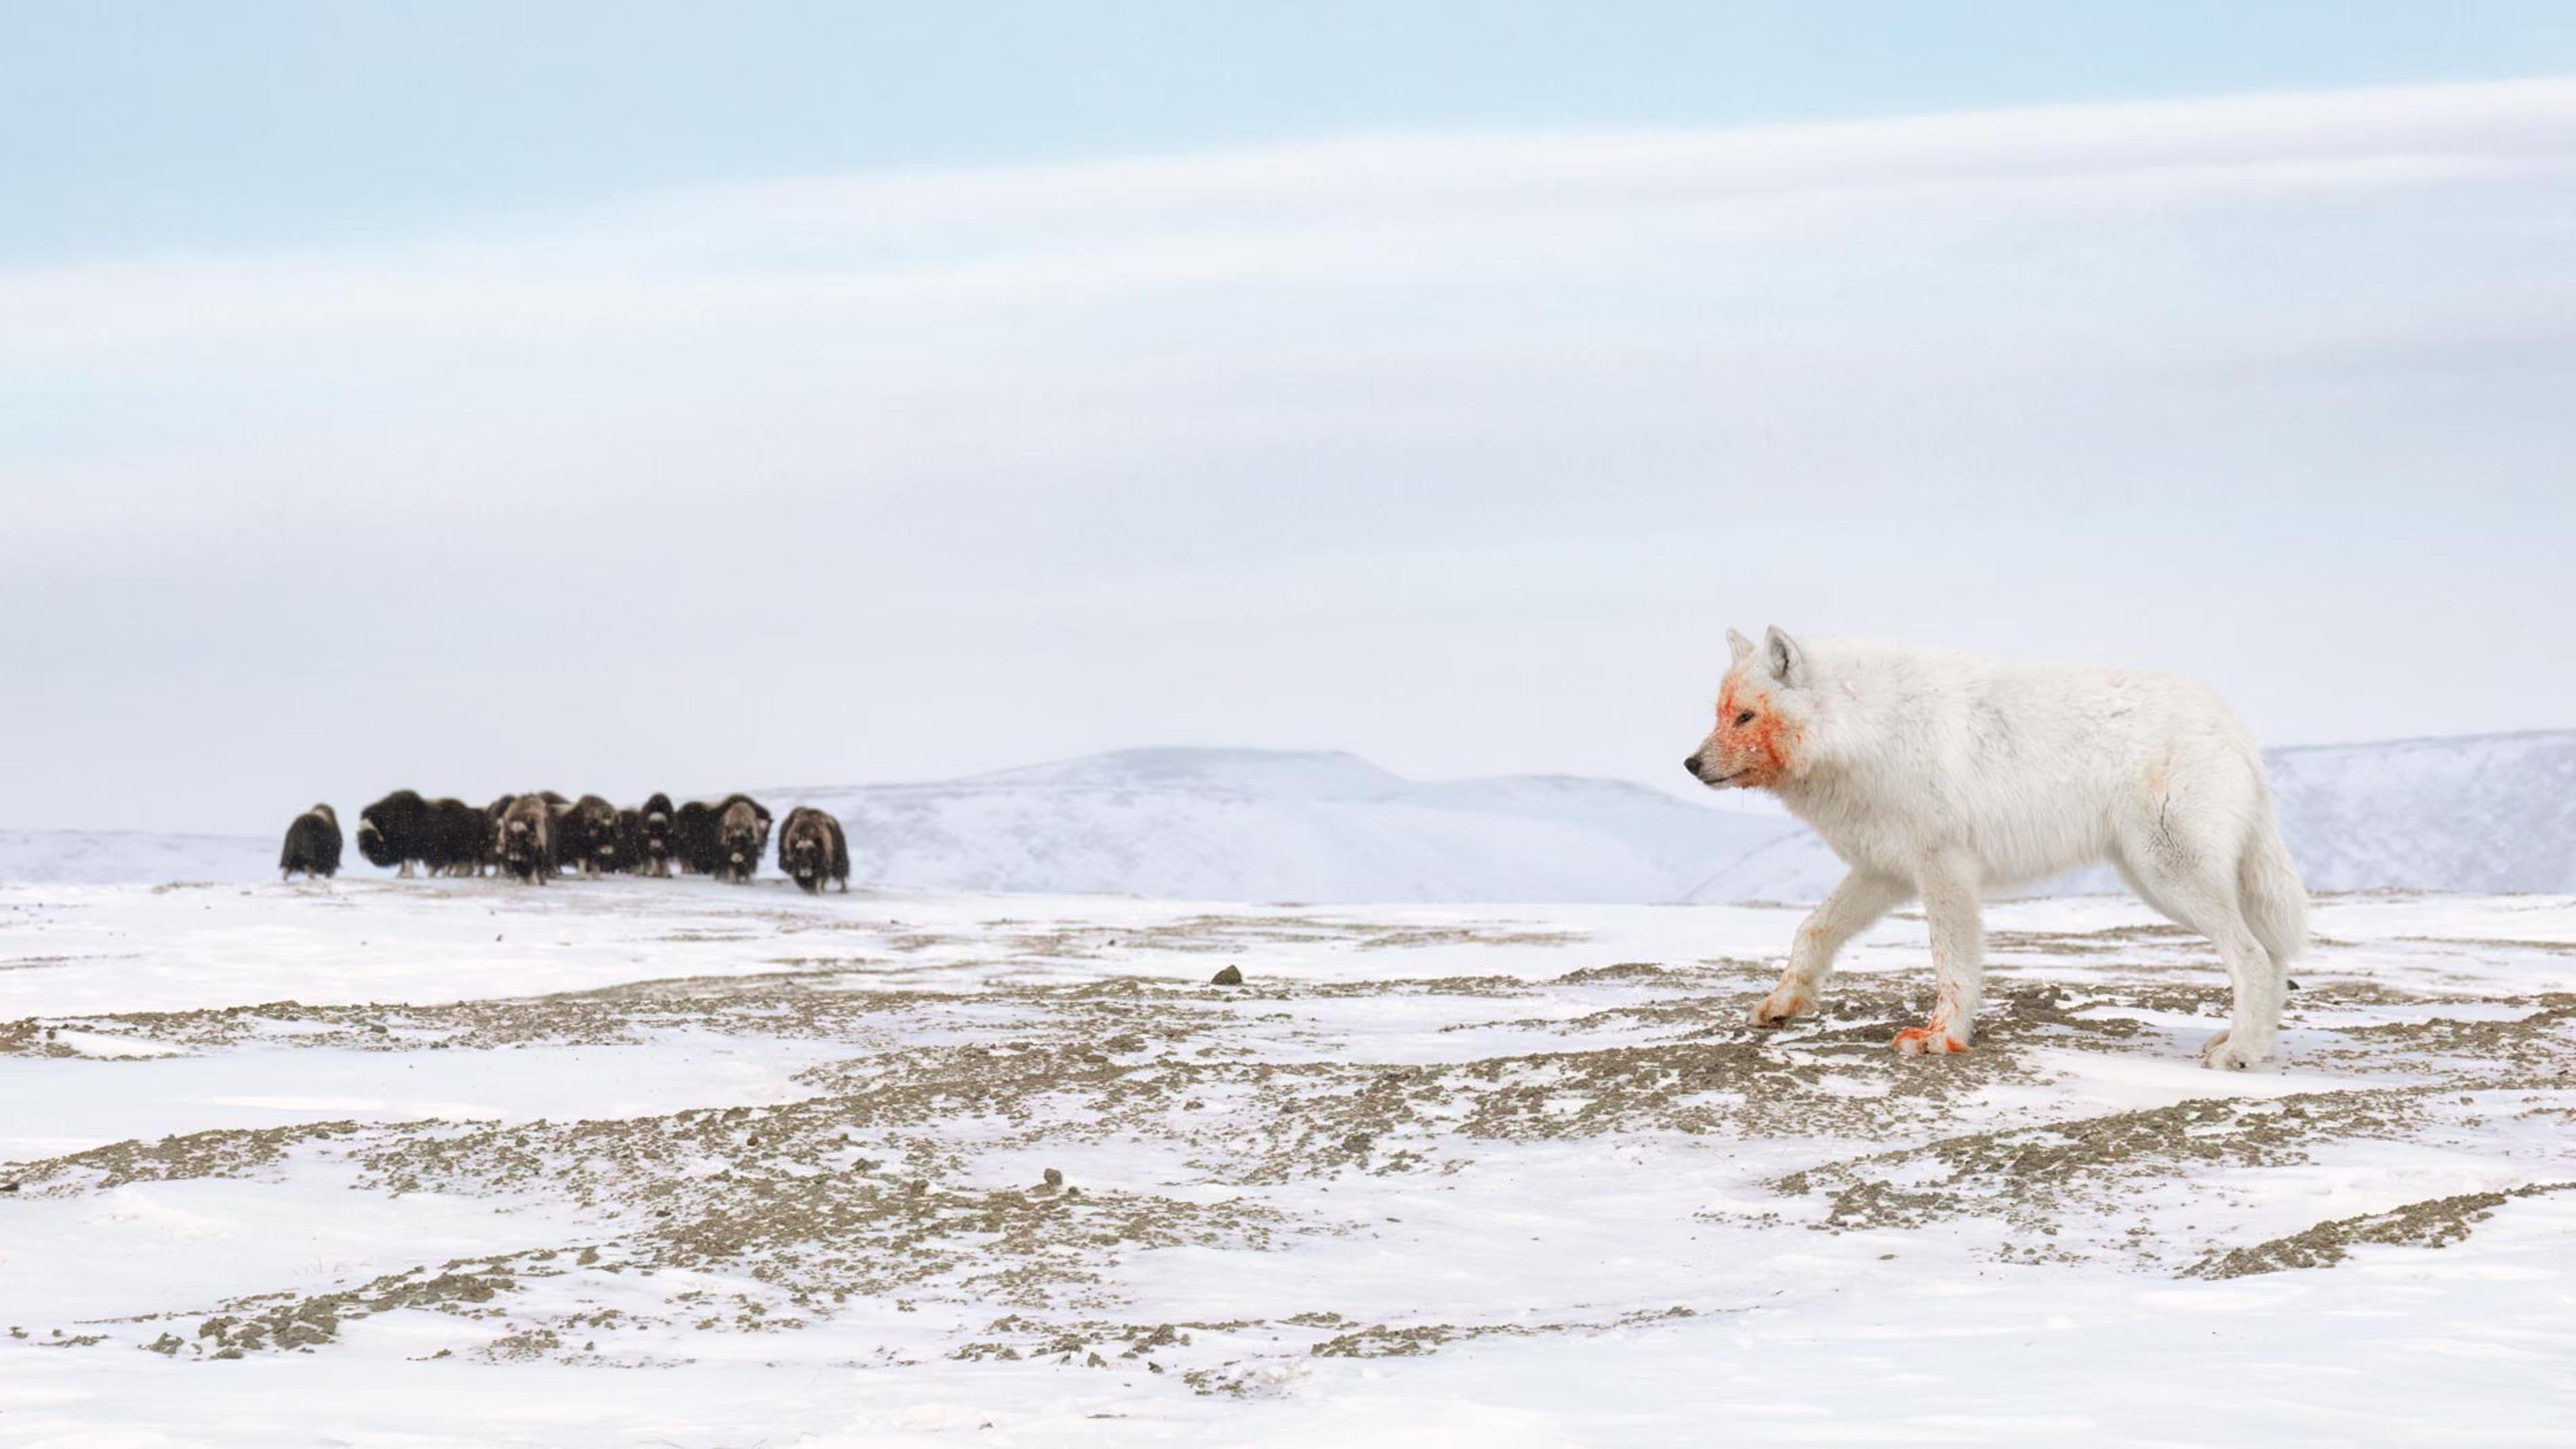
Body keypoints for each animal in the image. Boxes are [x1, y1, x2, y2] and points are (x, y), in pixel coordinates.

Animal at [777, 806, 850, 894]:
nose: (805, 870)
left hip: (839, 854)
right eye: (798, 851)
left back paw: (843, 889)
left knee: (841, 870)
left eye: (812, 851)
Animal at [1684, 628, 2307, 1069]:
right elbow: (1812, 931)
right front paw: (1783, 1004)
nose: (1690, 764)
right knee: (2272, 959)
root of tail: (2233, 726)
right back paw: (2251, 1043)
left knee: (2251, 955)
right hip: (2158, 879)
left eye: (1746, 716)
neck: (1867, 727)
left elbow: (1951, 963)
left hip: (2169, 877)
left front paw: (1940, 1038)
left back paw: (2240, 1053)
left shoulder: (1944, 868)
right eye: (1719, 714)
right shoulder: (1885, 870)